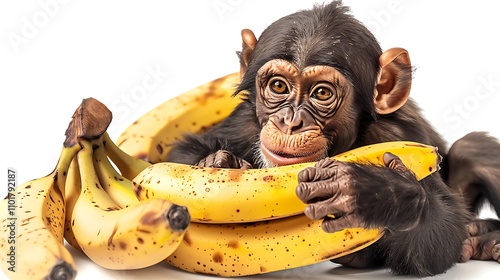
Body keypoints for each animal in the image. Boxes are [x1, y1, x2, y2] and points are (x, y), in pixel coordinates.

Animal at [166, 0, 500, 276]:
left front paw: (378, 193)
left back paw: (483, 236)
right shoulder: (244, 124)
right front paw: (220, 162)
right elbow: (183, 152)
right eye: (278, 86)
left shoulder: (402, 137)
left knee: (474, 149)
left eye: (322, 93)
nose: (291, 122)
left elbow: (440, 242)